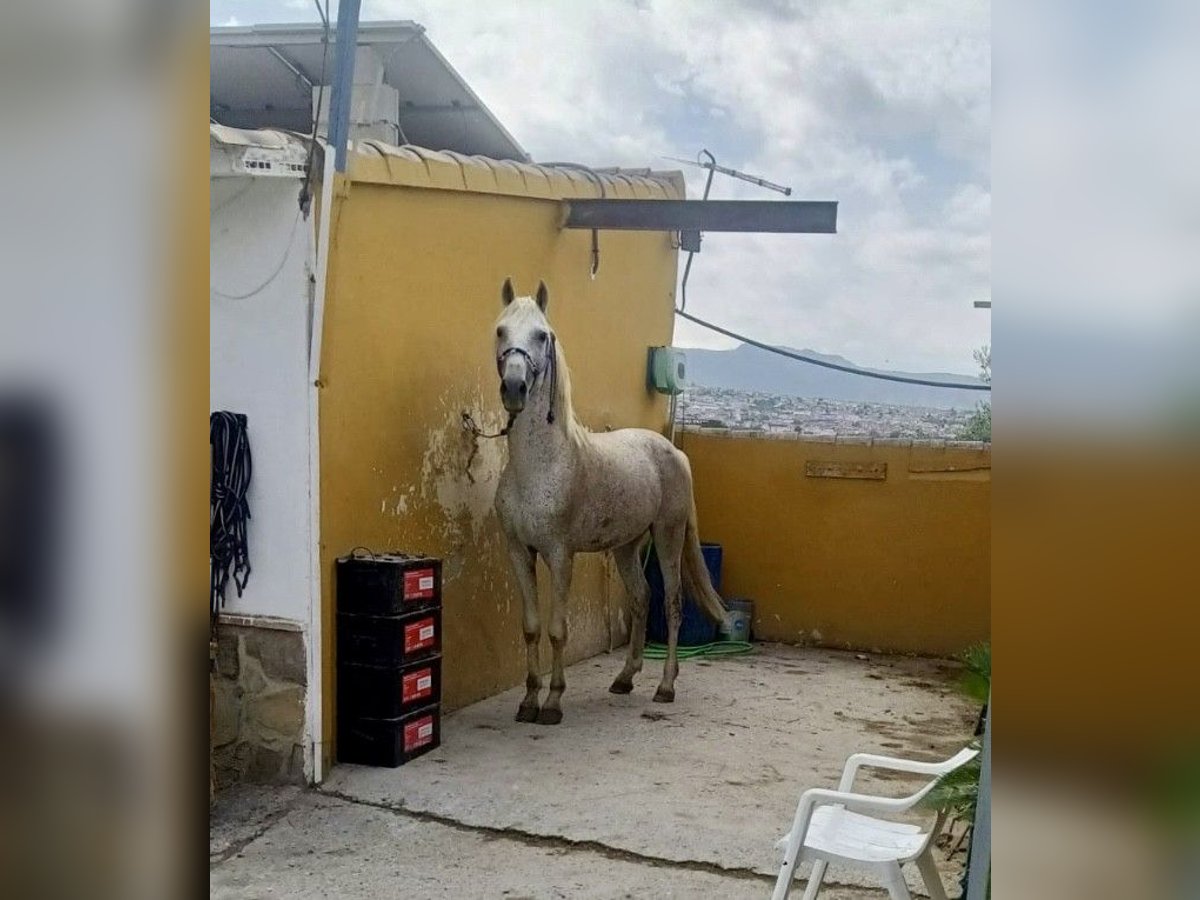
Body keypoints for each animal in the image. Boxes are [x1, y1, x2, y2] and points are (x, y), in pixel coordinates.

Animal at [489, 277, 720, 724]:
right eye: (500, 331)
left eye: (542, 335)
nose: (514, 388)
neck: (540, 467)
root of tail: (674, 452)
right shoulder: (519, 552)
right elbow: (531, 627)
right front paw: (528, 701)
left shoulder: (560, 554)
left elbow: (558, 629)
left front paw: (553, 703)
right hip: (628, 546)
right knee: (641, 599)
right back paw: (625, 678)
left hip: (667, 537)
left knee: (672, 603)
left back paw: (665, 686)